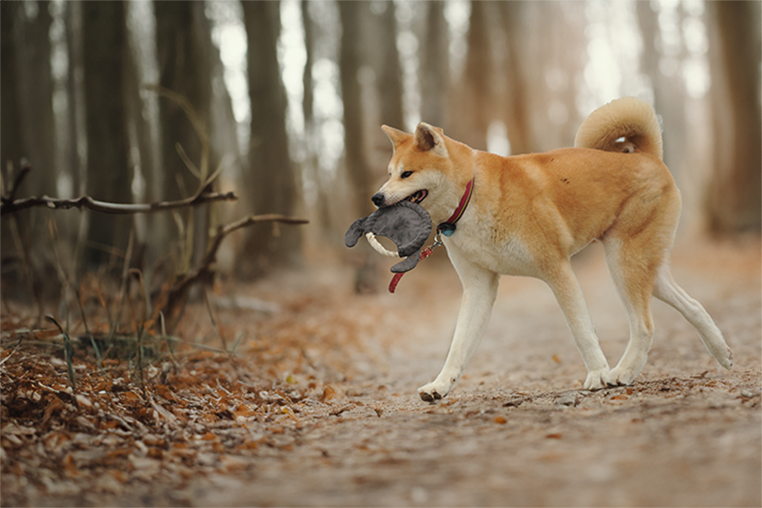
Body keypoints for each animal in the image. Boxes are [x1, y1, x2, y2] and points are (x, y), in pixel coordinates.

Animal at [372, 97, 732, 402]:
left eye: (407, 173)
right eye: (388, 174)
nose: (376, 197)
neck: (472, 194)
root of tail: (647, 155)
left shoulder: (557, 269)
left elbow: (582, 330)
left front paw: (597, 374)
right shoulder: (478, 287)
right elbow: (458, 347)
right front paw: (440, 385)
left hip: (624, 262)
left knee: (644, 325)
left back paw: (622, 372)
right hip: (646, 267)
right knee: (693, 305)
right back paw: (722, 353)